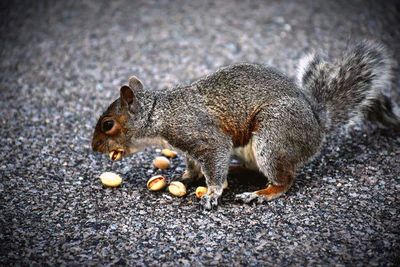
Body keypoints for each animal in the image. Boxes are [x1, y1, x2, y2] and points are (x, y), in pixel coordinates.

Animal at [92, 41, 398, 211]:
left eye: (107, 124)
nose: (94, 148)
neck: (160, 113)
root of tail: (316, 126)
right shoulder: (189, 148)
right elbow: (193, 165)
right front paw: (188, 176)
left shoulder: (203, 136)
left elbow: (215, 158)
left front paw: (212, 193)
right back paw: (236, 171)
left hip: (273, 135)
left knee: (284, 179)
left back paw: (261, 194)